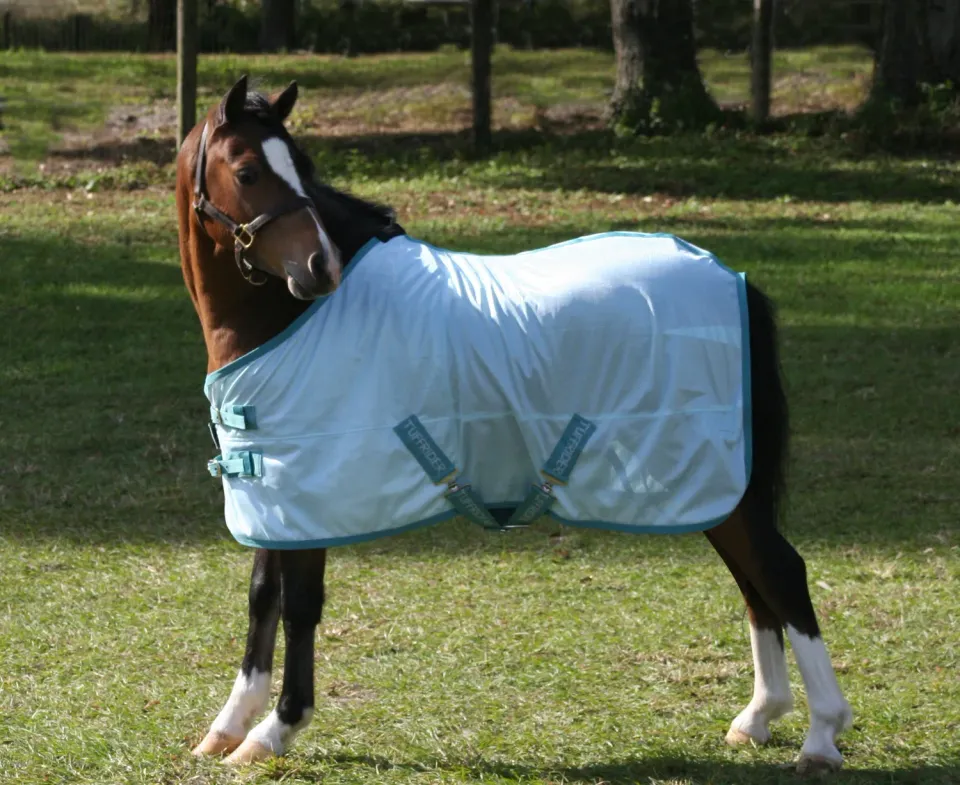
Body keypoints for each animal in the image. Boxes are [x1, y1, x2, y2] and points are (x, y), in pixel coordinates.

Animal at [175, 76, 853, 772]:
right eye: (249, 171)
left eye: (302, 168)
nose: (319, 268)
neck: (285, 322)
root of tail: (733, 279)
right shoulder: (272, 493)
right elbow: (263, 595)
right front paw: (228, 726)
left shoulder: (308, 498)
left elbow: (300, 607)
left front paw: (274, 730)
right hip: (713, 488)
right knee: (755, 583)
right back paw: (759, 717)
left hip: (716, 481)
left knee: (781, 574)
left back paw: (821, 737)